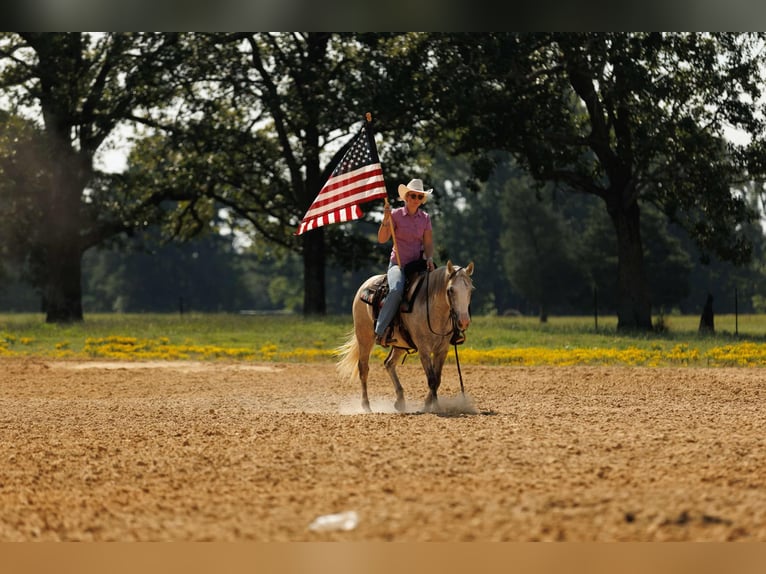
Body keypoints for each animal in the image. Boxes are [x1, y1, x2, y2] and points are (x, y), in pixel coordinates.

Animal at [337, 260, 475, 413]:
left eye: (471, 290)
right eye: (450, 290)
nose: (464, 321)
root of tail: (366, 284)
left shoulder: (442, 350)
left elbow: (437, 379)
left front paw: (427, 405)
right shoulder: (424, 349)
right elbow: (432, 379)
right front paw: (435, 407)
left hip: (400, 344)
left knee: (389, 363)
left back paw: (400, 401)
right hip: (364, 337)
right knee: (363, 368)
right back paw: (366, 406)